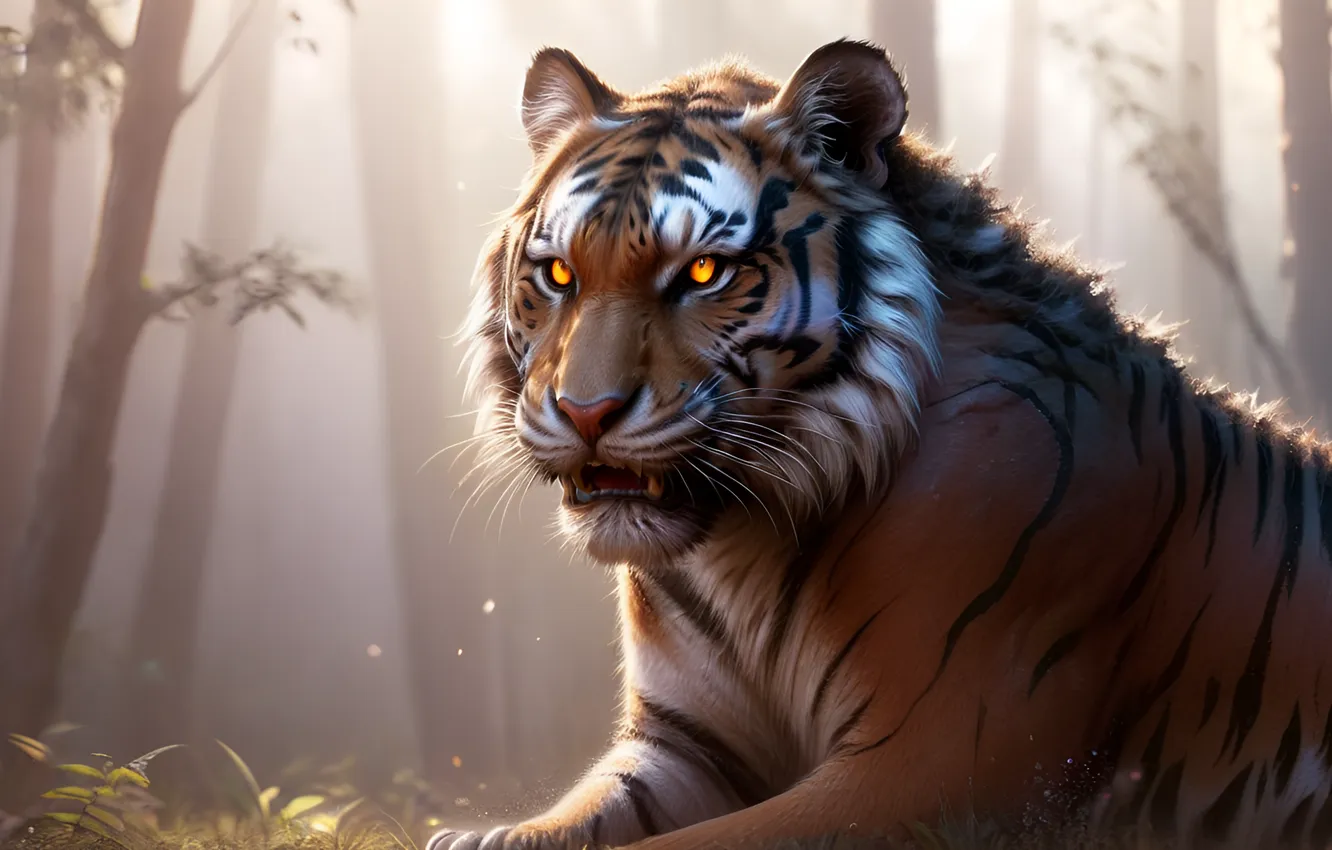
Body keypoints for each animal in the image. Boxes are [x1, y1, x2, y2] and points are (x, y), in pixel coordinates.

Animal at [427, 38, 1332, 850]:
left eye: (703, 274)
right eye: (559, 276)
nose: (586, 412)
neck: (738, 547)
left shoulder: (932, 763)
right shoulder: (684, 746)